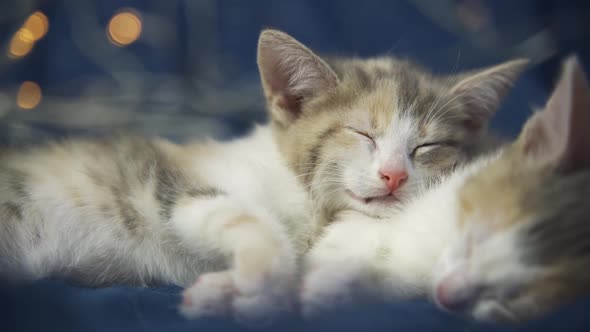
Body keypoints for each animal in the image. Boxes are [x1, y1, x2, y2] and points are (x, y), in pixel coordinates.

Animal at [0, 27, 528, 324]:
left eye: (427, 147)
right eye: (363, 133)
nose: (394, 176)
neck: (304, 197)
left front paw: (229, 294)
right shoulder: (171, 184)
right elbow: (249, 223)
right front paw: (261, 283)